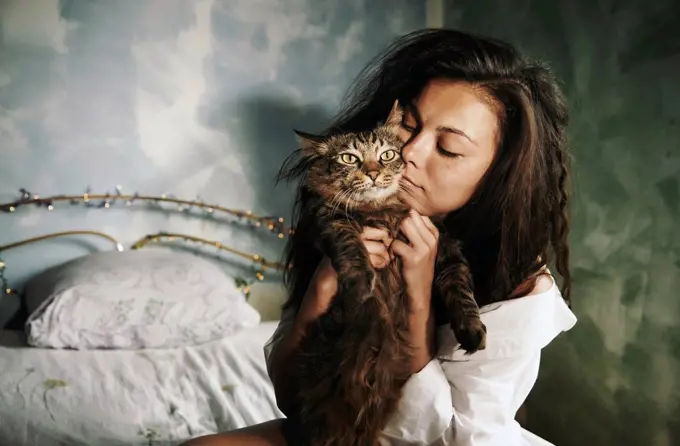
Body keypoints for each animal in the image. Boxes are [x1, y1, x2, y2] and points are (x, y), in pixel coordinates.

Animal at [278, 100, 486, 446]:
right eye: (349, 158)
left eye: (387, 154)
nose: (374, 173)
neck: (380, 209)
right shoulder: (331, 221)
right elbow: (351, 247)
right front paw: (362, 283)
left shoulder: (445, 247)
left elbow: (461, 290)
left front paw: (472, 330)